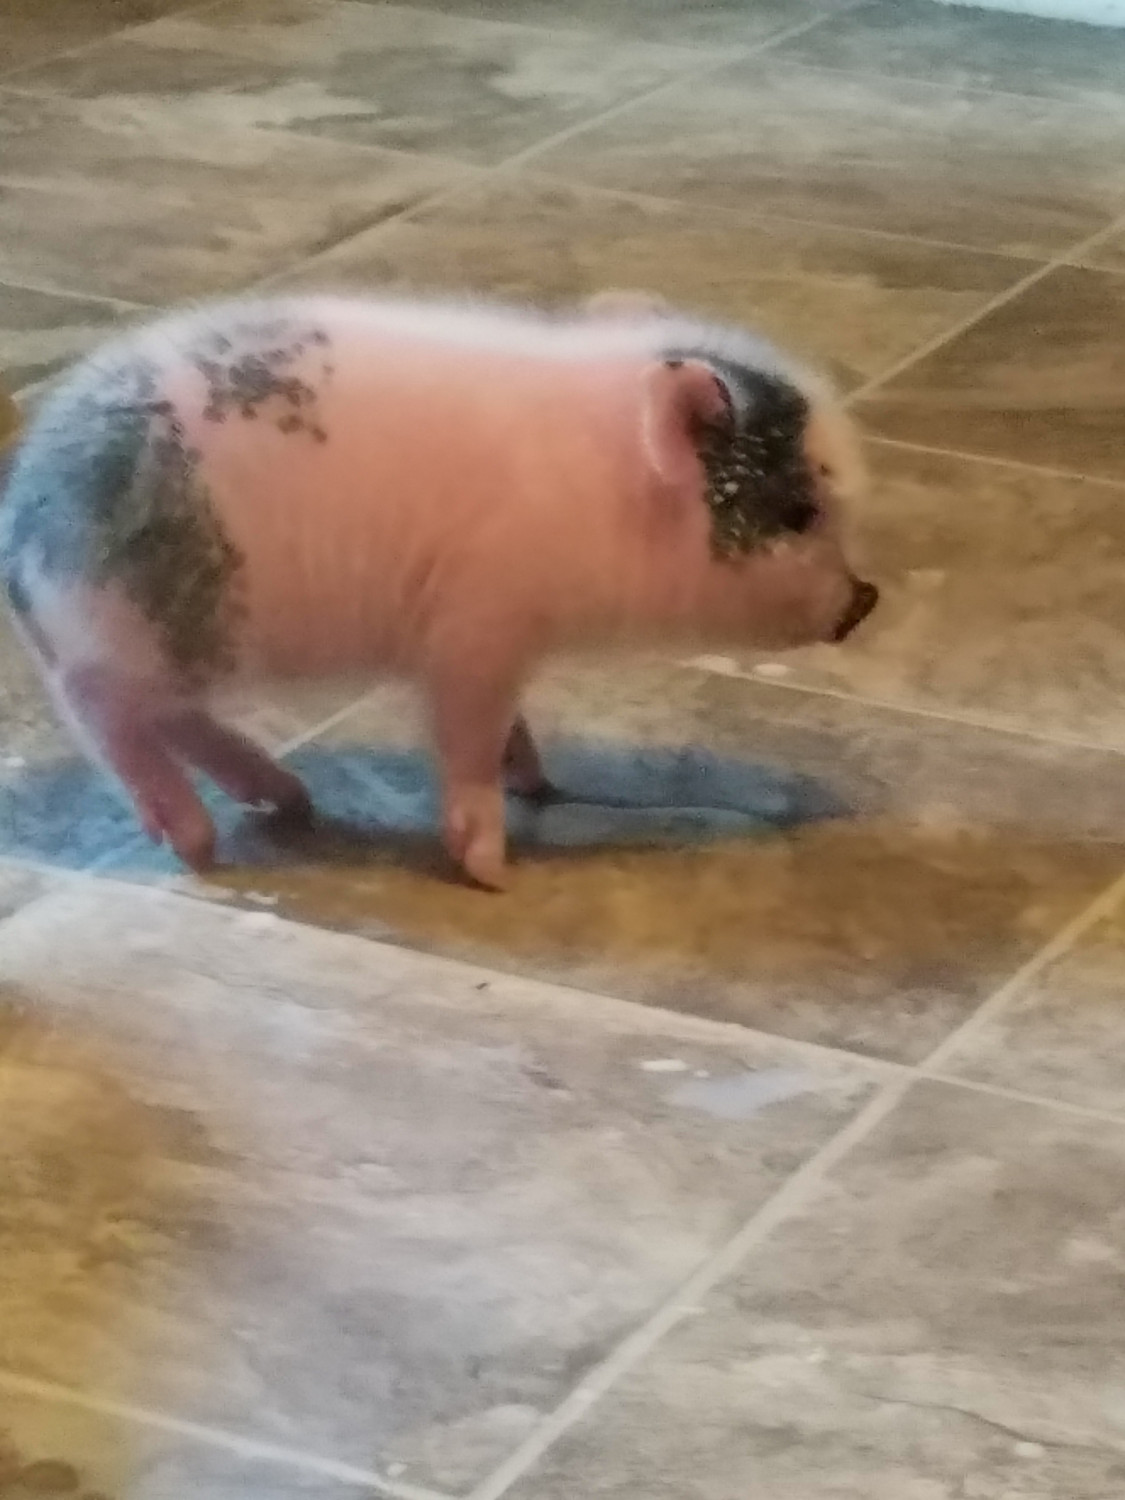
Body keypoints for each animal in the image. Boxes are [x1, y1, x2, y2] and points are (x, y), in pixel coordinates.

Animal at [0, 289, 877, 890]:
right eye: (798, 512)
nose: (864, 600)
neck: (604, 498)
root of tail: (24, 516)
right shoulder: (475, 632)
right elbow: (467, 740)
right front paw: (491, 870)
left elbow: (507, 728)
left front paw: (536, 780)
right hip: (140, 626)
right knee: (101, 707)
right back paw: (198, 845)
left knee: (172, 714)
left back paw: (286, 800)